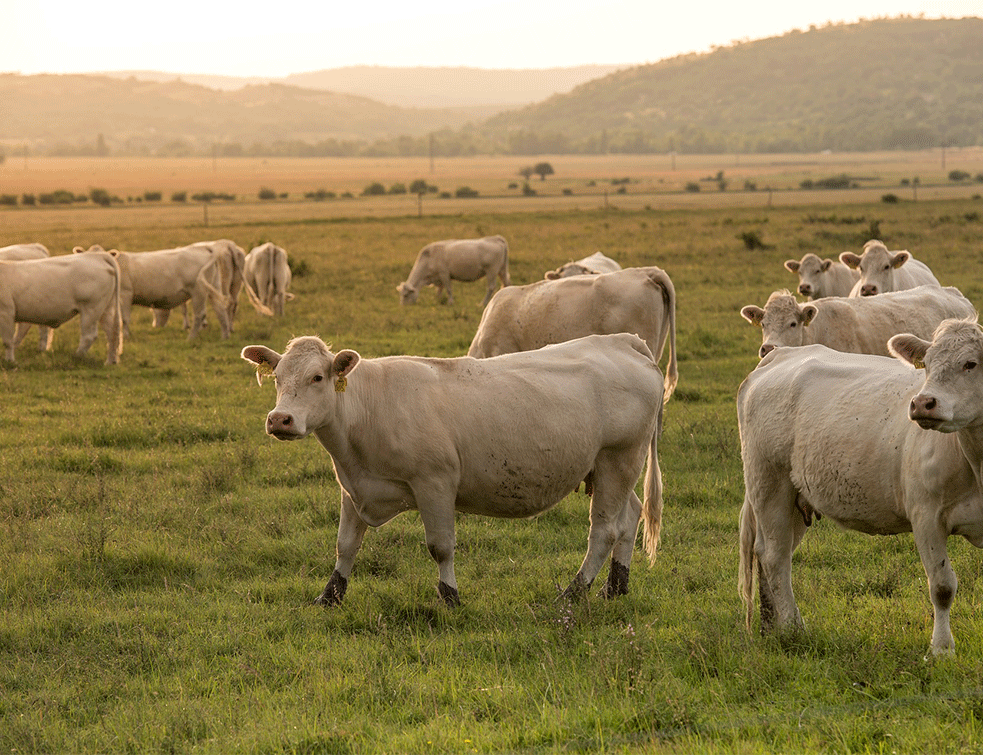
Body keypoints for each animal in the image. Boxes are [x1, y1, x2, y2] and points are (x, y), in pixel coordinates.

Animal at [242, 336, 664, 608]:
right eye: (277, 377)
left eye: (317, 377)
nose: (280, 419)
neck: (368, 409)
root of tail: (622, 342)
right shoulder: (354, 488)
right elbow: (345, 545)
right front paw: (330, 595)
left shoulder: (435, 483)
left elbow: (441, 546)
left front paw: (450, 597)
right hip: (611, 469)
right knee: (630, 516)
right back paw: (615, 587)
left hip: (617, 460)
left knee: (604, 531)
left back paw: (573, 593)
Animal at [736, 318, 983, 656]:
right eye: (928, 365)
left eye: (971, 363)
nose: (923, 403)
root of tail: (779, 355)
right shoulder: (926, 517)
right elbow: (942, 586)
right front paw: (941, 650)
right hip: (769, 483)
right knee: (775, 556)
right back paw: (793, 629)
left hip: (794, 499)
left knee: (769, 553)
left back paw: (770, 626)